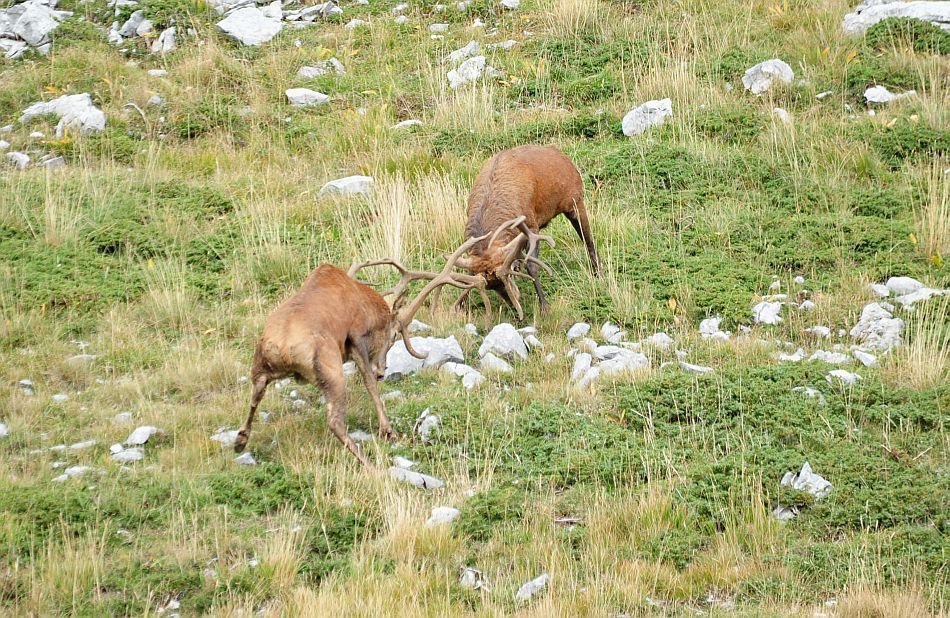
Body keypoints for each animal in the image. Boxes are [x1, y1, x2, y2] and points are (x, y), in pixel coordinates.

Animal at [234, 233, 494, 464]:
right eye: (393, 336)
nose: (383, 370)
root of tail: (284, 348)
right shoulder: (356, 335)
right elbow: (368, 381)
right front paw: (388, 430)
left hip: (260, 363)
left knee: (256, 393)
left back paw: (240, 440)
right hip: (330, 369)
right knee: (335, 420)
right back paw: (368, 462)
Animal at [456, 144, 604, 318]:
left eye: (509, 277)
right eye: (491, 287)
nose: (513, 303)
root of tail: (563, 156)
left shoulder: (532, 226)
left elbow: (532, 267)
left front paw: (544, 306)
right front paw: (461, 306)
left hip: (575, 201)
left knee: (588, 239)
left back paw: (598, 273)